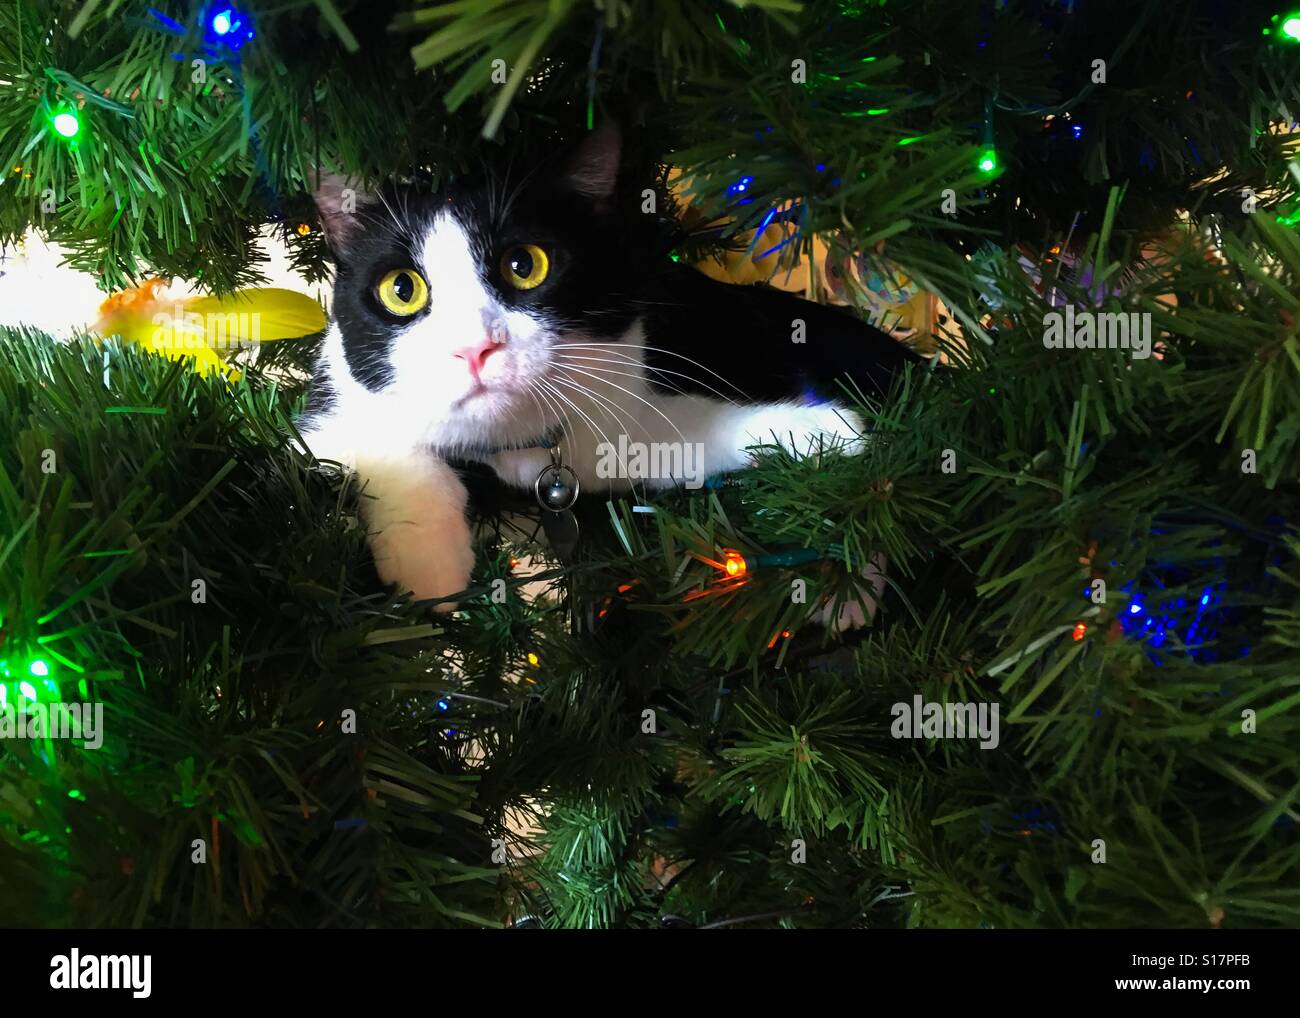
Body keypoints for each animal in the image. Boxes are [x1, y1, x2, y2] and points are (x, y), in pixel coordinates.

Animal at [300, 125, 920, 605]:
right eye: (401, 289)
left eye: (525, 264)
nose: (475, 346)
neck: (519, 448)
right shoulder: (328, 400)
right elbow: (373, 445)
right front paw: (429, 567)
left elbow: (682, 437)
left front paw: (822, 428)